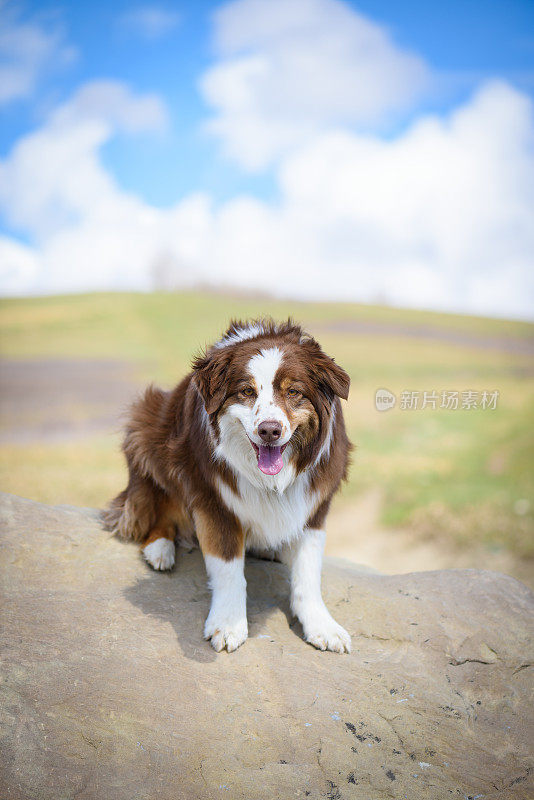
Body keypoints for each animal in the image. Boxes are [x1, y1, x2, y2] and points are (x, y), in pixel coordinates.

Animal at [106, 316, 354, 652]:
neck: (270, 480)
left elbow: (308, 571)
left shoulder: (313, 504)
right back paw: (160, 549)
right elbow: (228, 569)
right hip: (147, 427)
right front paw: (228, 623)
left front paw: (322, 625)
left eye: (294, 392)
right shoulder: (213, 500)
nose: (269, 430)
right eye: (246, 391)